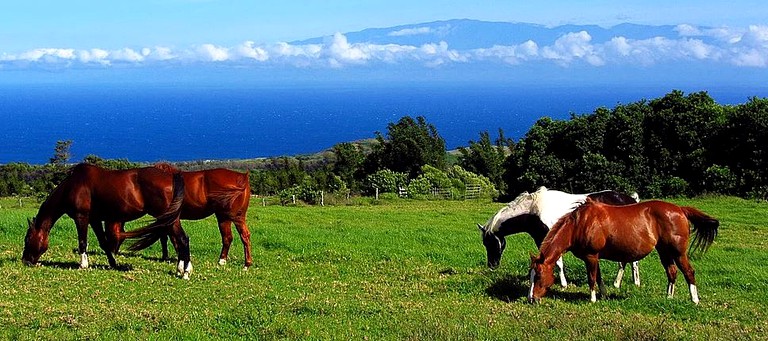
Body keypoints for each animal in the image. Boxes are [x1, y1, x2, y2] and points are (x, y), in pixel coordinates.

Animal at [23, 163, 195, 278]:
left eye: (28, 239)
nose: (25, 261)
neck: (72, 185)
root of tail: (172, 177)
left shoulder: (81, 217)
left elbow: (82, 242)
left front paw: (83, 265)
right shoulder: (95, 220)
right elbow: (104, 243)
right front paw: (113, 264)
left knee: (182, 240)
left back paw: (185, 272)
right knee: (180, 240)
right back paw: (181, 269)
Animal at [105, 167, 254, 268]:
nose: (113, 252)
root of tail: (242, 177)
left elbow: (168, 237)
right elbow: (166, 237)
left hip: (233, 217)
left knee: (242, 236)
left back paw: (246, 264)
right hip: (225, 217)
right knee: (229, 237)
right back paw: (224, 261)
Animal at [476, 186, 640, 286]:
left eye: (490, 243)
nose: (492, 265)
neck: (534, 211)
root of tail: (631, 200)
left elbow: (558, 262)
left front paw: (563, 284)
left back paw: (628, 283)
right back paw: (625, 283)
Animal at [528, 198, 720, 304]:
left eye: (538, 276)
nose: (532, 299)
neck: (579, 224)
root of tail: (680, 209)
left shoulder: (591, 256)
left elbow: (592, 278)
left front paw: (592, 299)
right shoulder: (594, 257)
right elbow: (599, 277)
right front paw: (604, 295)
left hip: (678, 253)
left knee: (689, 272)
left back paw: (694, 300)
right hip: (664, 252)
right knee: (672, 272)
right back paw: (669, 298)